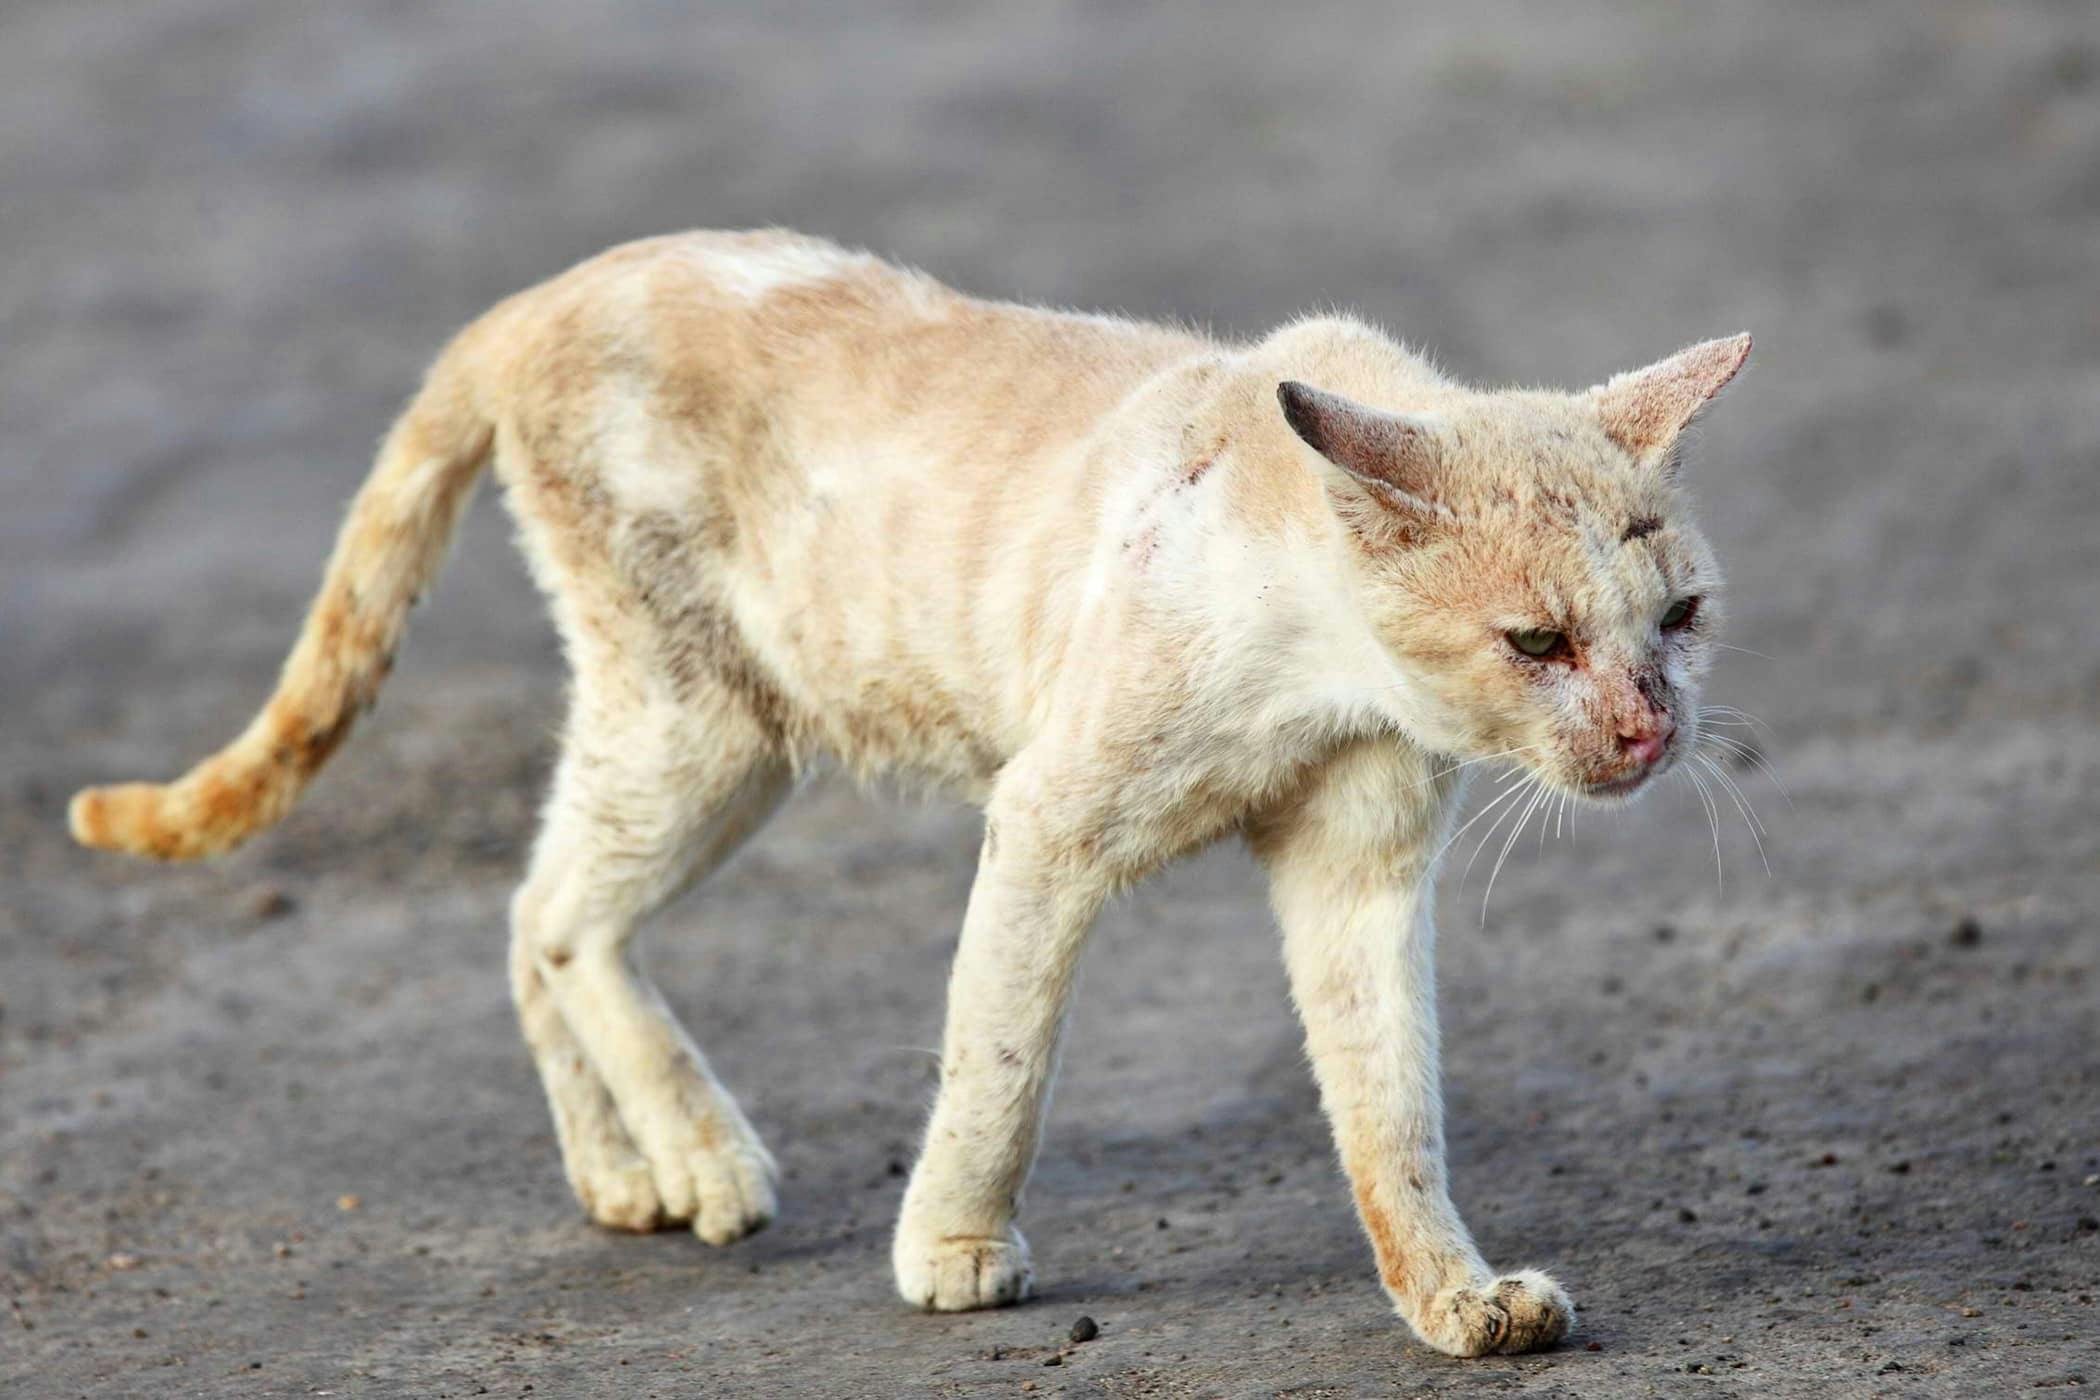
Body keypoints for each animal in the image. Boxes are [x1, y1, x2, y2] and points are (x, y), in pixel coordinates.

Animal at [65, 227, 1747, 1360]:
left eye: (1680, 620)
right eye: (1537, 642)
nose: (1649, 731)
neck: (1323, 665)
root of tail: (545, 291)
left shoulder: (1359, 871)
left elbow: (1392, 1106)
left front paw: (1455, 1301)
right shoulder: (1050, 822)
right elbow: (997, 1063)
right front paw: (953, 1250)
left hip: (702, 740)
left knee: (535, 905)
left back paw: (627, 1175)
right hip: (705, 725)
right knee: (558, 916)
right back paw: (703, 1162)